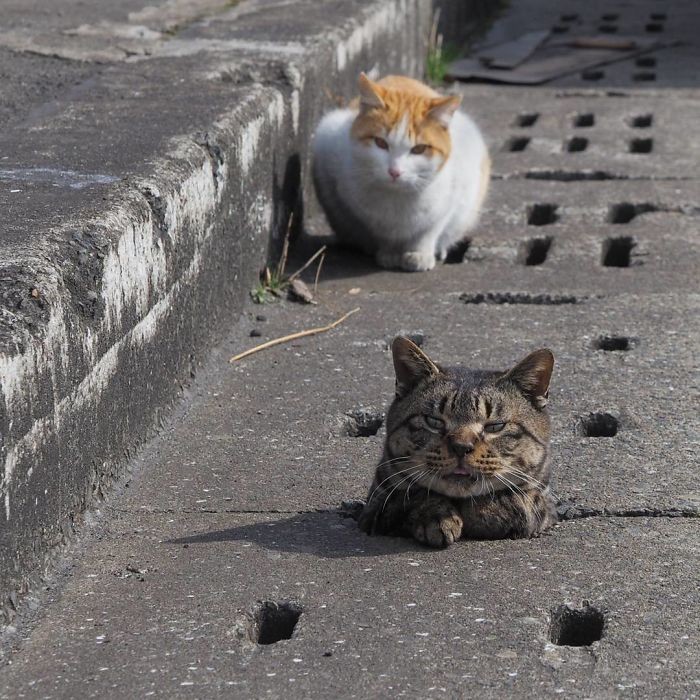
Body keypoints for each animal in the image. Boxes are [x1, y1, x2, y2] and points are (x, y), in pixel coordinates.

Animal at [314, 73, 490, 270]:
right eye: (380, 143)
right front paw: (389, 254)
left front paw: (420, 255)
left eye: (419, 149)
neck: (397, 198)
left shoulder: (451, 198)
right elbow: (382, 234)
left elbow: (429, 231)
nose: (394, 171)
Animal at [358, 340, 556, 548]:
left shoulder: (543, 504)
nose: (461, 447)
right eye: (433, 421)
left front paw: (487, 510)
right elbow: (415, 496)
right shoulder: (376, 507)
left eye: (495, 426)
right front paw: (436, 516)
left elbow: (519, 502)